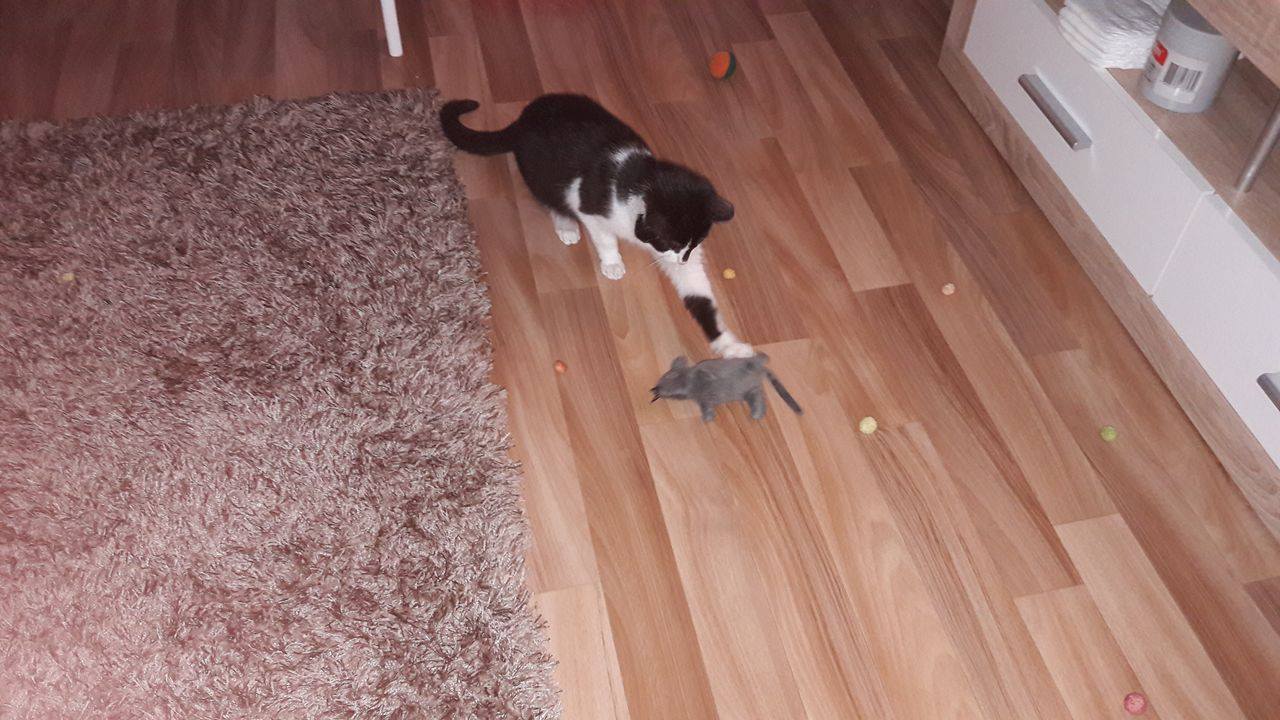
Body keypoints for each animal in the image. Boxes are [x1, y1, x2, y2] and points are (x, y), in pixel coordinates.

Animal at [440, 94, 753, 358]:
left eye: (693, 245)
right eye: (673, 242)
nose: (682, 259)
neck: (640, 181)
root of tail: (523, 117)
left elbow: (700, 296)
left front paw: (730, 347)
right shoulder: (590, 207)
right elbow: (604, 237)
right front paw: (612, 263)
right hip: (541, 174)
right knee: (551, 199)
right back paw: (566, 226)